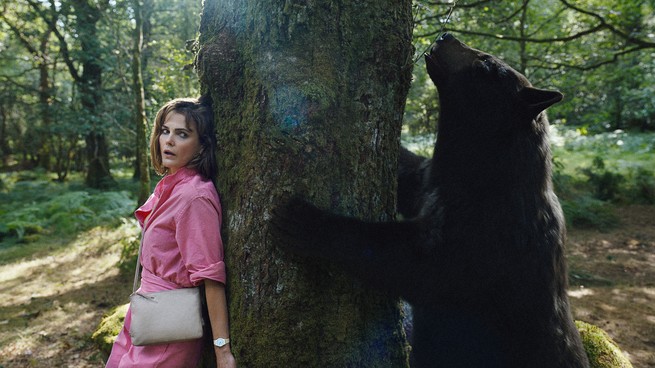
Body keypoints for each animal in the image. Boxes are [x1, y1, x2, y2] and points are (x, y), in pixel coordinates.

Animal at [270, 33, 588, 366]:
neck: (482, 174)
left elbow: (415, 265)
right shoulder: (430, 182)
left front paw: (304, 221)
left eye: (486, 64)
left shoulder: (488, 236)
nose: (447, 35)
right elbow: (409, 174)